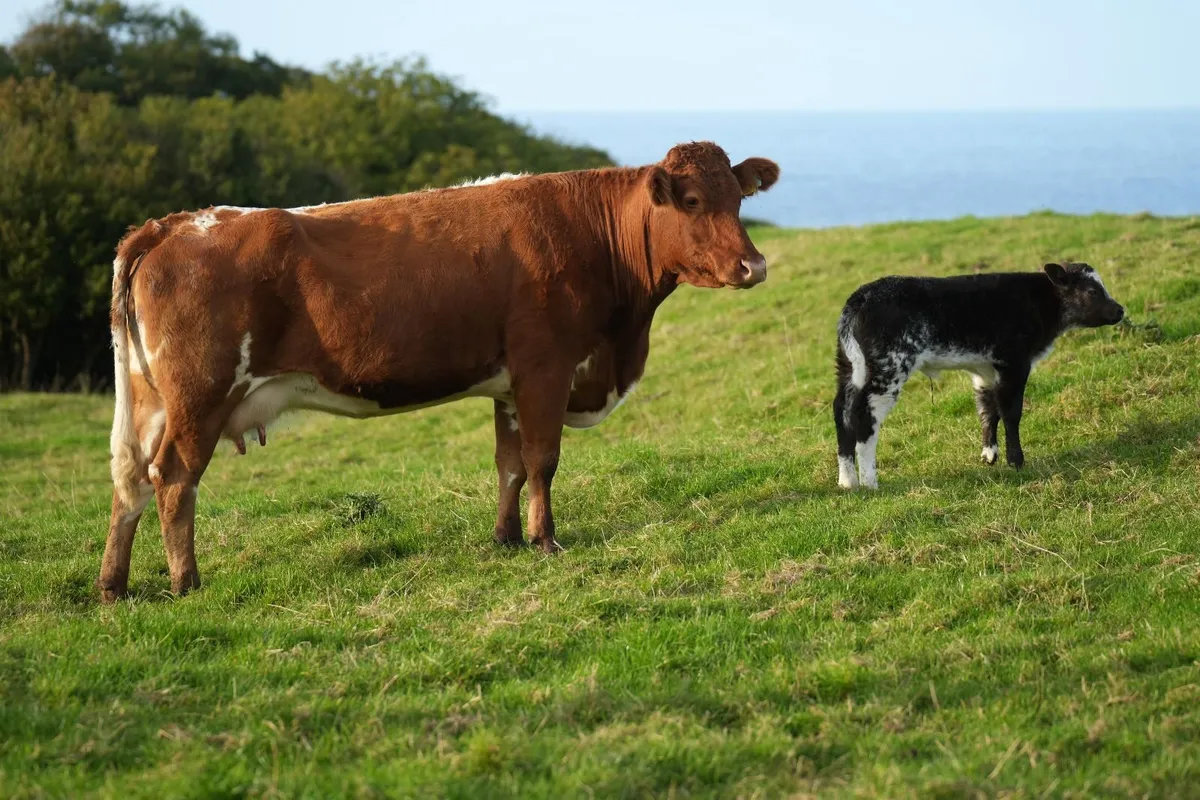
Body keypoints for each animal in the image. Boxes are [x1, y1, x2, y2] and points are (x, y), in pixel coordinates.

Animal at [100, 141, 780, 602]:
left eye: (739, 197)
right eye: (691, 200)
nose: (755, 266)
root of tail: (172, 224)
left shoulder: (510, 383)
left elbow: (510, 463)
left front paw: (506, 538)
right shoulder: (546, 366)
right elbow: (542, 459)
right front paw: (545, 541)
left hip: (150, 400)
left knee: (129, 480)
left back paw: (114, 584)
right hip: (200, 395)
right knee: (173, 479)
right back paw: (187, 581)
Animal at [833, 262, 1125, 490]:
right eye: (1092, 291)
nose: (1120, 310)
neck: (1039, 304)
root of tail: (860, 297)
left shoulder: (986, 369)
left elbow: (988, 409)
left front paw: (989, 455)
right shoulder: (1014, 363)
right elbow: (1011, 412)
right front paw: (1016, 461)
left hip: (849, 366)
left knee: (841, 411)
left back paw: (848, 481)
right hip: (888, 368)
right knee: (863, 417)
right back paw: (870, 481)